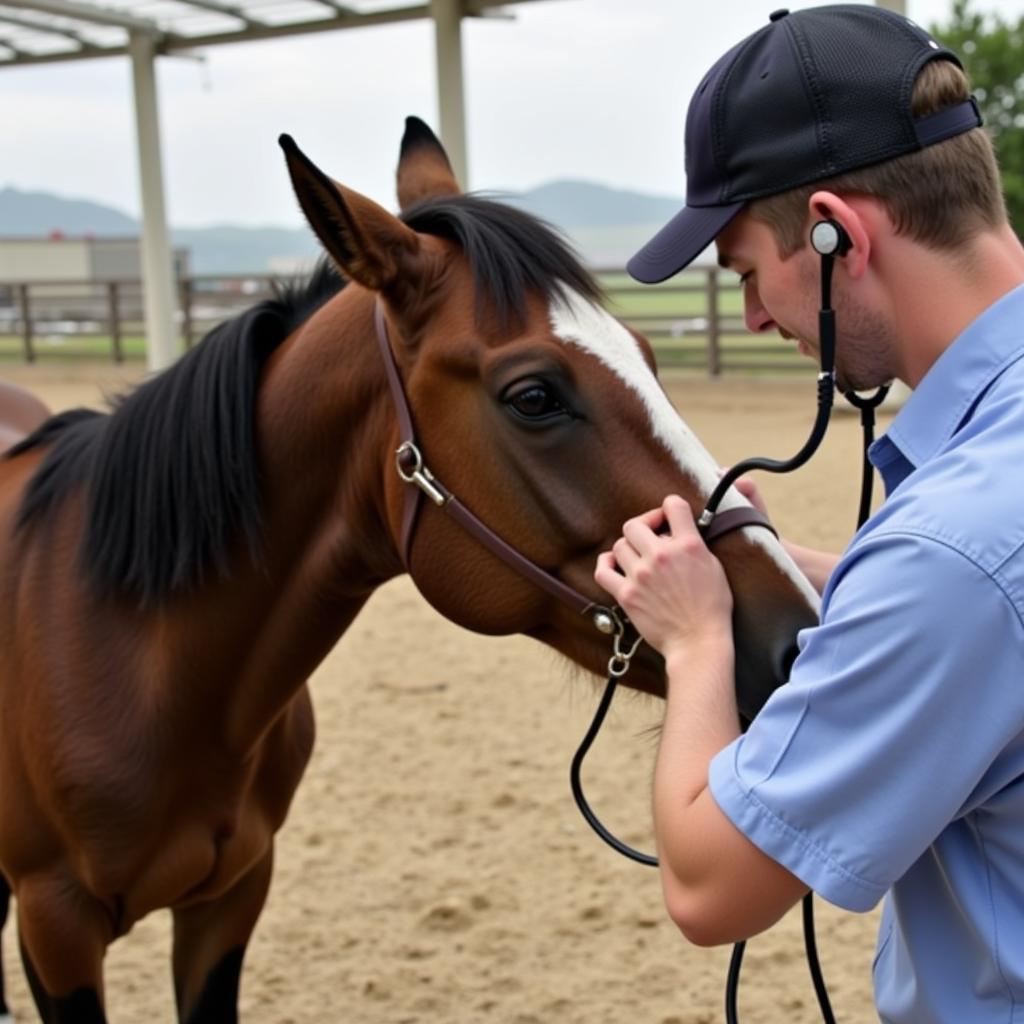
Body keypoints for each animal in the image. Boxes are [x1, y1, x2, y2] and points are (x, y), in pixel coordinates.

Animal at [0, 116, 815, 1019]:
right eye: (535, 396)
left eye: (646, 355)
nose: (798, 638)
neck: (144, 660)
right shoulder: (55, 925)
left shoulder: (230, 899)